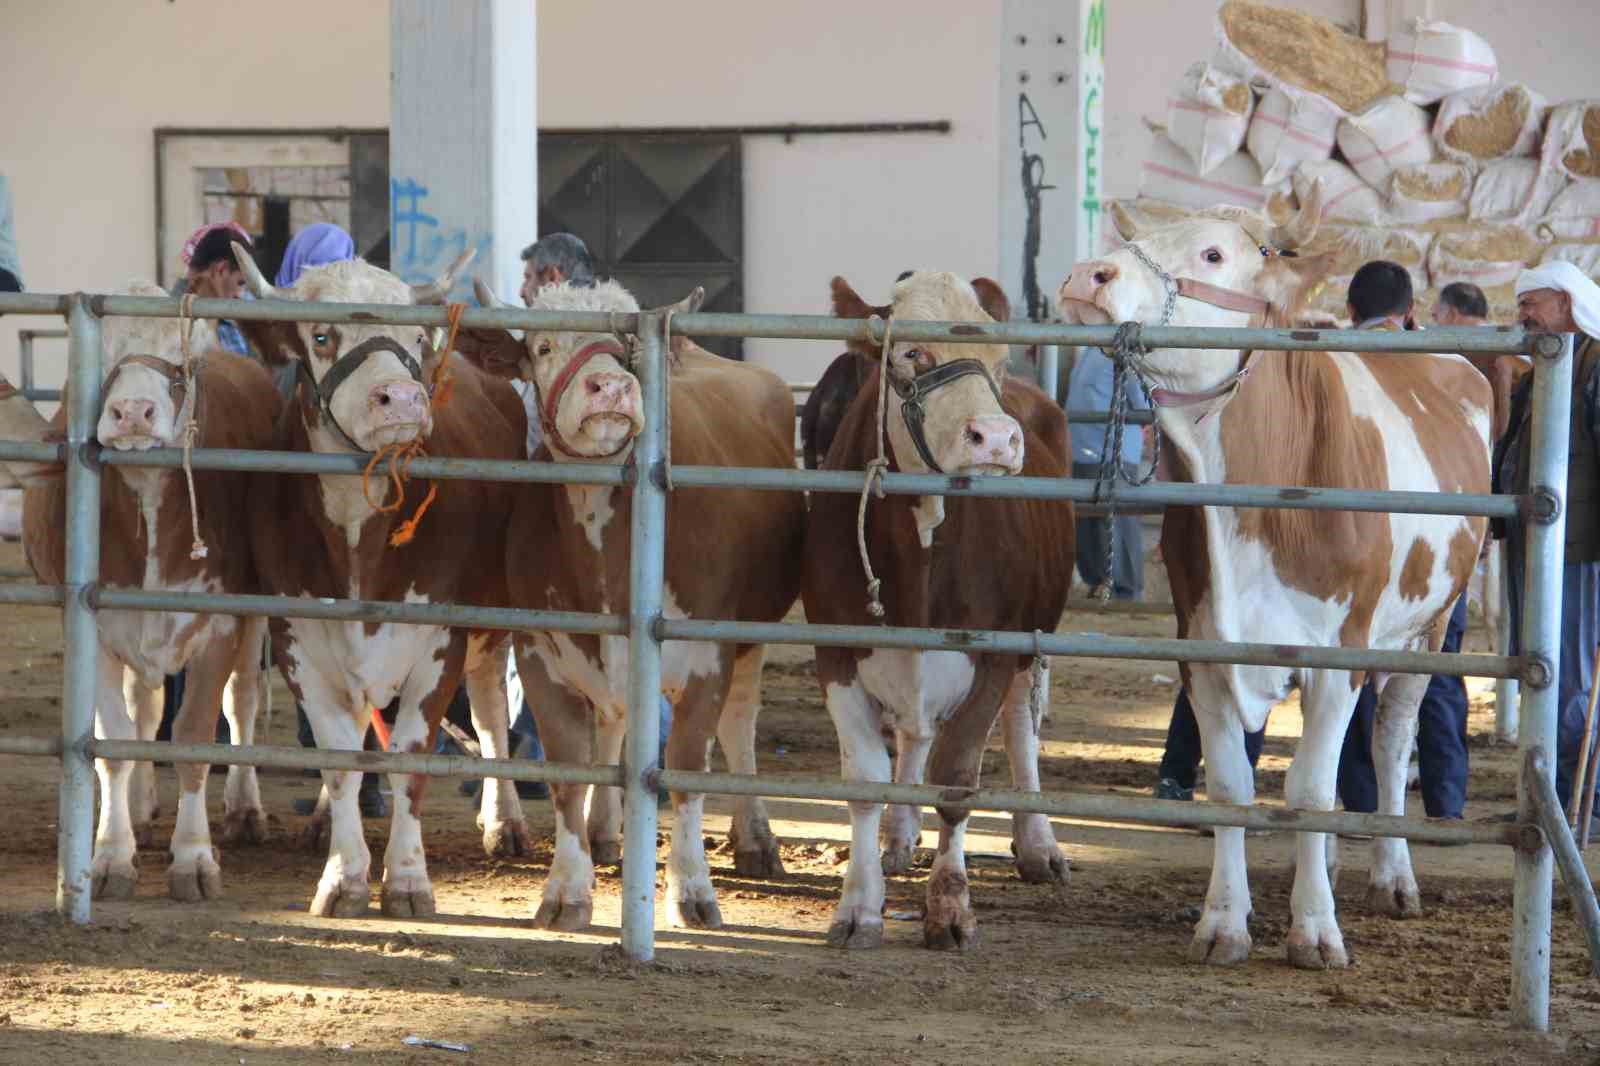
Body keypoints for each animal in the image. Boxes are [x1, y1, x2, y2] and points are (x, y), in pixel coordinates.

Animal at [21, 281, 281, 896]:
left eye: (181, 362)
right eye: (103, 357)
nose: (132, 412)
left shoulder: (220, 623)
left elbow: (193, 737)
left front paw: (193, 859)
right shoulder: (94, 626)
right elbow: (112, 742)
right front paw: (111, 855)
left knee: (243, 699)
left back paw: (244, 809)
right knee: (142, 708)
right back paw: (139, 809)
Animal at [232, 246, 531, 915]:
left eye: (416, 336)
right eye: (321, 336)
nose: (402, 396)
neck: (357, 543)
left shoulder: (439, 643)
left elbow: (411, 759)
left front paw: (409, 880)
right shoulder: (300, 643)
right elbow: (339, 759)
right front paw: (344, 876)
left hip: (490, 625)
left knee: (491, 712)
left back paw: (505, 821)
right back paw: (321, 823)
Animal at [460, 278, 812, 928]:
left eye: (626, 352)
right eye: (543, 347)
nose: (613, 386)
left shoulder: (704, 659)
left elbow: (687, 773)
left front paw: (692, 890)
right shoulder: (543, 654)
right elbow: (569, 775)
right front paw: (565, 891)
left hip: (752, 633)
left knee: (740, 727)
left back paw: (754, 839)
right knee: (605, 720)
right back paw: (601, 830)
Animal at [800, 267, 1075, 947]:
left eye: (998, 360)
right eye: (912, 353)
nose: (996, 438)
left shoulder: (995, 653)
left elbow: (957, 777)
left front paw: (950, 906)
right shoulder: (835, 650)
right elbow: (866, 780)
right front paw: (859, 904)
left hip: (1036, 634)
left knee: (1022, 730)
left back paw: (1038, 846)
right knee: (913, 733)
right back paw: (899, 838)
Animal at [1056, 186, 1491, 966]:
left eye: (1212, 253)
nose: (1087, 275)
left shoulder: (1340, 651)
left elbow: (1311, 789)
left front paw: (1315, 929)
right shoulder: (1201, 645)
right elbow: (1233, 786)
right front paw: (1223, 923)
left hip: (1430, 625)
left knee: (1390, 739)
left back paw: (1393, 877)